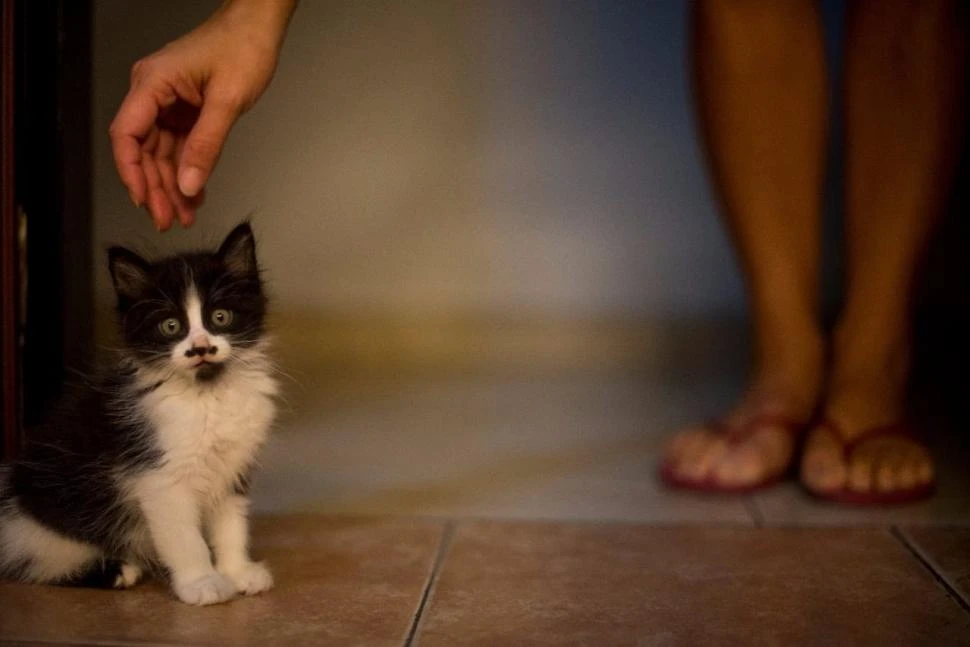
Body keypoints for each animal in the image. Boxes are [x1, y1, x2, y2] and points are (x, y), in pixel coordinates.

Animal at [0, 223, 276, 608]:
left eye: (220, 317)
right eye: (171, 326)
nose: (200, 348)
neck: (207, 395)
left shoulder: (232, 467)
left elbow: (231, 525)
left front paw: (237, 572)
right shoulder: (158, 477)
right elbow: (185, 538)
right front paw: (202, 583)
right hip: (42, 524)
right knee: (35, 560)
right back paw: (118, 570)